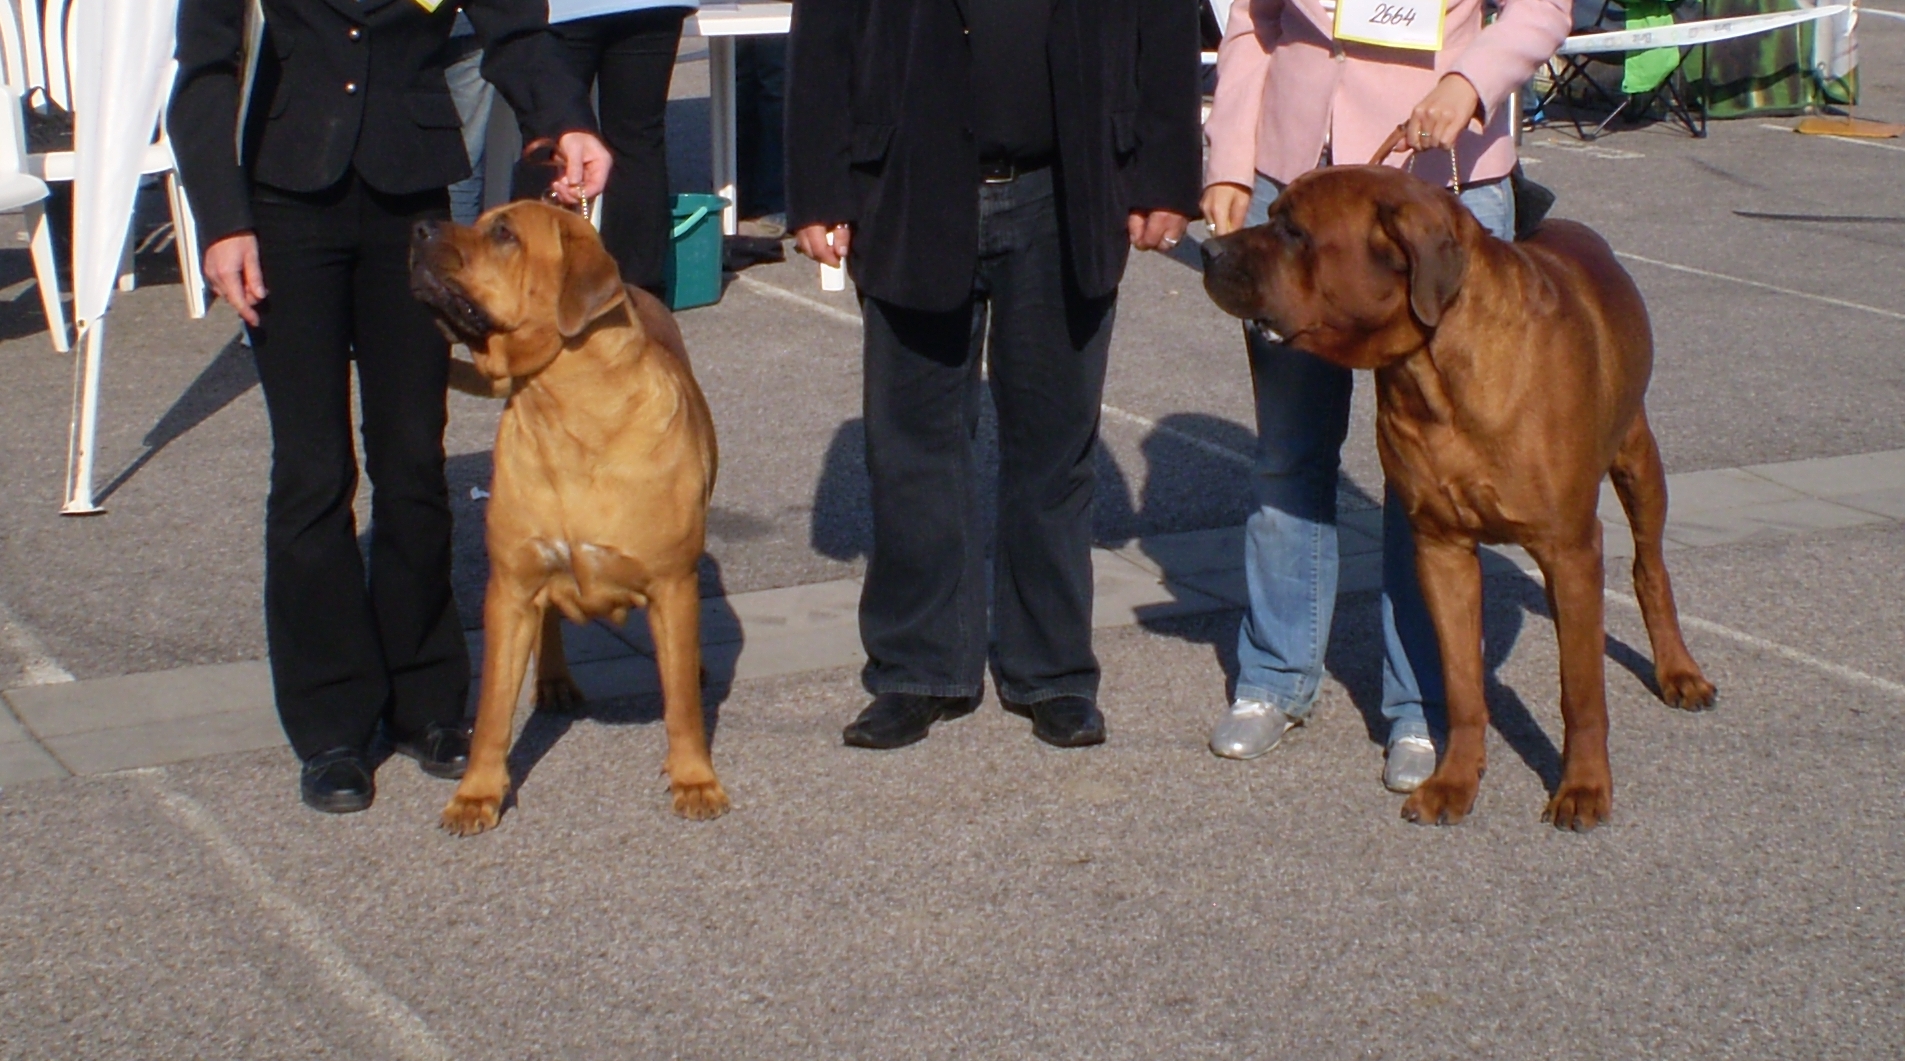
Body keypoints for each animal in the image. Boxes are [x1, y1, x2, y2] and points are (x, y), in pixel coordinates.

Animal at [409, 196, 727, 826]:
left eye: (504, 234)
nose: (419, 226)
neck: (564, 412)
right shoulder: (510, 586)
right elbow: (492, 710)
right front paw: (477, 793)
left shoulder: (671, 581)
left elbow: (680, 703)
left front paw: (695, 780)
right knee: (551, 619)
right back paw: (554, 681)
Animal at [1196, 165, 1722, 826]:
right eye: (1271, 215)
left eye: (1294, 231)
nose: (1208, 249)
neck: (1433, 369)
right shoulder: (1442, 549)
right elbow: (1462, 683)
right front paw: (1453, 781)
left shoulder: (1570, 549)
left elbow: (1581, 691)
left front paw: (1583, 788)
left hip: (1637, 460)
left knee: (1650, 567)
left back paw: (1679, 671)